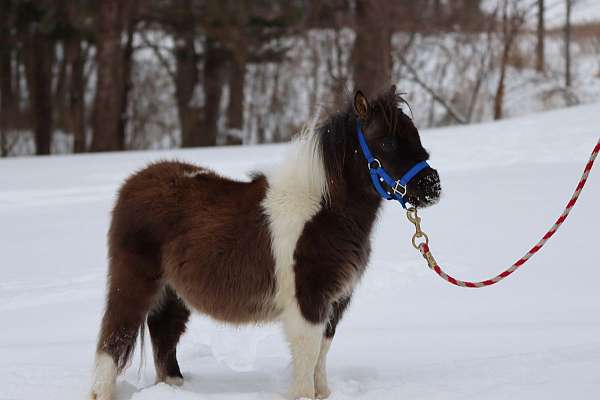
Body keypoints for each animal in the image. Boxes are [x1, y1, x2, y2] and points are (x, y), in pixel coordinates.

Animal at [92, 87, 440, 400]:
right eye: (388, 141)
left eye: (415, 135)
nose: (432, 186)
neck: (322, 212)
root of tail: (134, 183)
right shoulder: (308, 301)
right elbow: (307, 352)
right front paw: (303, 395)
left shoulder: (335, 302)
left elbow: (322, 352)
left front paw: (323, 393)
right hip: (134, 283)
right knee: (114, 338)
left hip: (173, 294)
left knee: (164, 337)